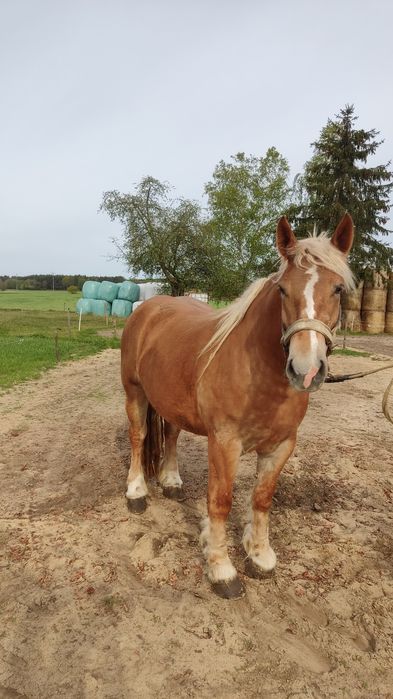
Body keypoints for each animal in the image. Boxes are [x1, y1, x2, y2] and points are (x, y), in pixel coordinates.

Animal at [121, 215, 354, 600]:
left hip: (170, 400)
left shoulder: (281, 445)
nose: (305, 369)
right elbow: (221, 501)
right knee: (139, 439)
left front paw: (259, 557)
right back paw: (137, 492)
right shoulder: (224, 443)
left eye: (338, 289)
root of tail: (148, 308)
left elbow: (262, 499)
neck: (259, 373)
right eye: (282, 290)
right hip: (134, 393)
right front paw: (221, 570)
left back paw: (171, 482)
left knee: (170, 435)